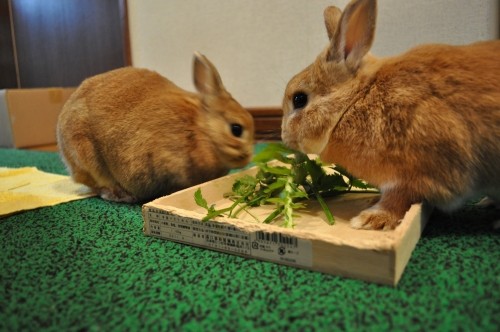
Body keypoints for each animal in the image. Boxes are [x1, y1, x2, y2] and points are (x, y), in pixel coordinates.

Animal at [57, 52, 256, 202]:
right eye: (236, 129)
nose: (247, 157)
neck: (201, 131)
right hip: (85, 154)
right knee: (99, 184)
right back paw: (119, 195)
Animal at [282, 0, 500, 230]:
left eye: (299, 99)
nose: (284, 137)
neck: (353, 102)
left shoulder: (416, 173)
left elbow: (399, 198)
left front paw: (370, 219)